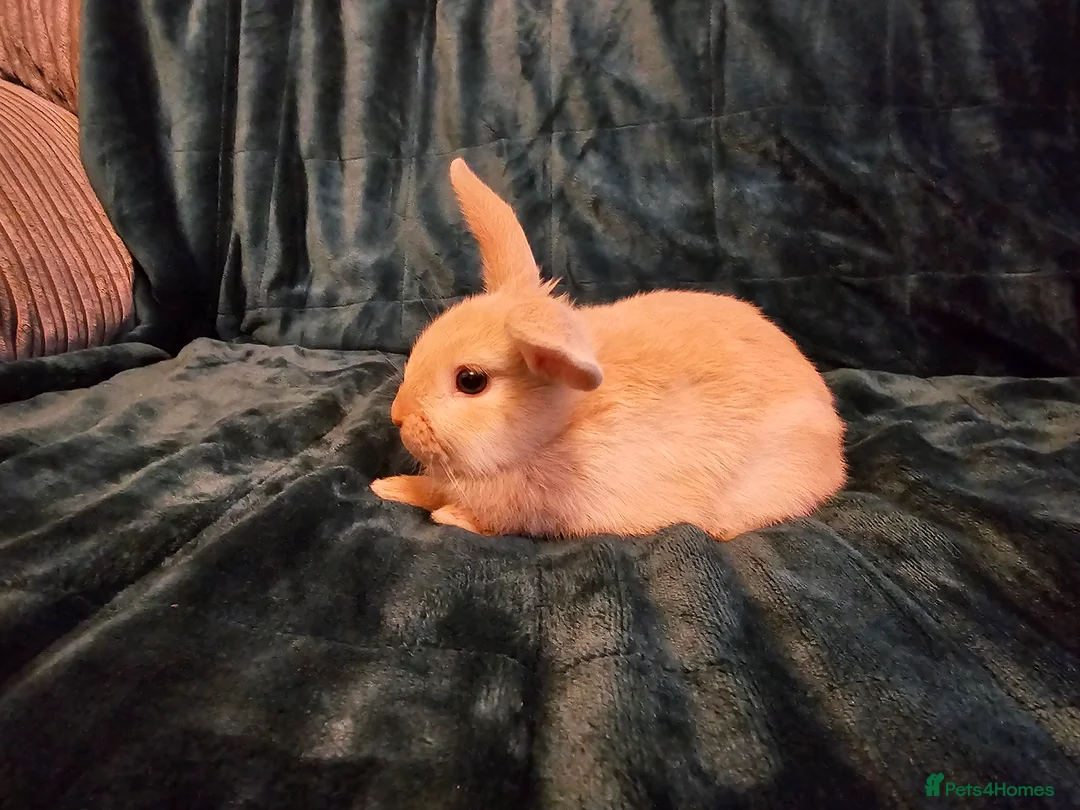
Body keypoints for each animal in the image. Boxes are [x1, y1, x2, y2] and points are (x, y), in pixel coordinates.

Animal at [370, 158, 847, 540]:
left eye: (471, 381)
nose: (398, 415)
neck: (556, 426)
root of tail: (836, 445)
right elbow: (426, 488)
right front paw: (387, 486)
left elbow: (484, 519)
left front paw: (447, 516)